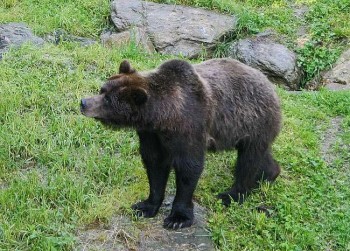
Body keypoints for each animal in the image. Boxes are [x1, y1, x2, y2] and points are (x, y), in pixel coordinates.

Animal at [80, 58, 282, 229]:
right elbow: (154, 164)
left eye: (108, 99)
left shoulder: (190, 128)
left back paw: (231, 195)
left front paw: (177, 218)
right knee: (260, 155)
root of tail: (270, 84)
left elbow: (188, 168)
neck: (163, 117)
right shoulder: (151, 134)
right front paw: (145, 206)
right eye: (102, 89)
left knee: (248, 160)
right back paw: (268, 175)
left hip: (253, 121)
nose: (84, 102)